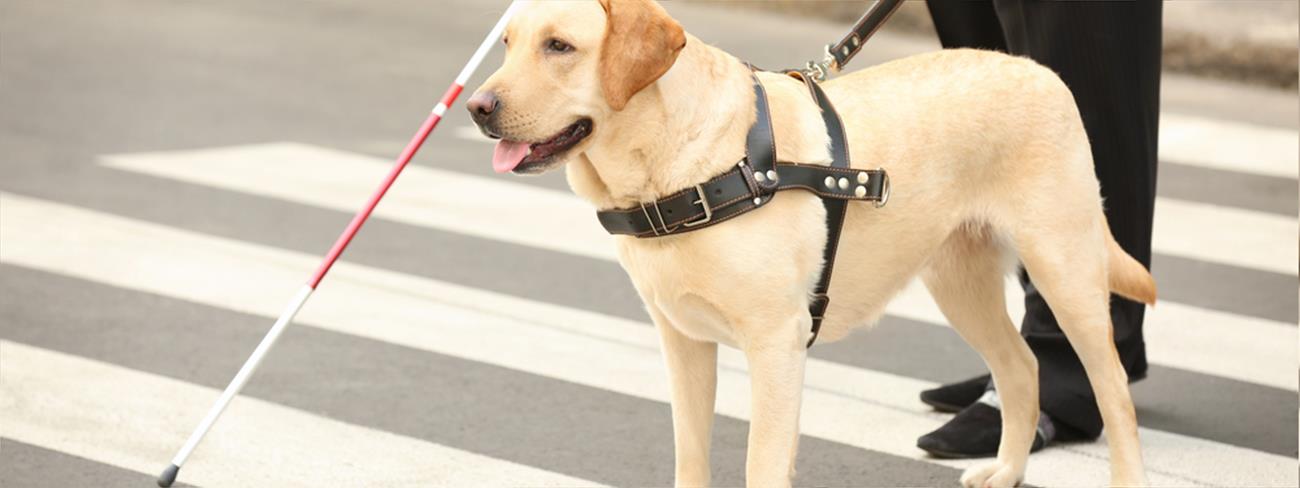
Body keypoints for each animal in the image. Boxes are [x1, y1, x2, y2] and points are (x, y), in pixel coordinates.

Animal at [462, 1, 1154, 486]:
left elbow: (761, 465)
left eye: (560, 46)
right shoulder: (682, 341)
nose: (476, 107)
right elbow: (692, 457)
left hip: (1064, 267)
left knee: (1112, 391)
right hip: (958, 282)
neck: (680, 169)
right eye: (507, 44)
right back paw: (1007, 471)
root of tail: (1037, 69)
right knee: (1020, 367)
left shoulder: (776, 342)